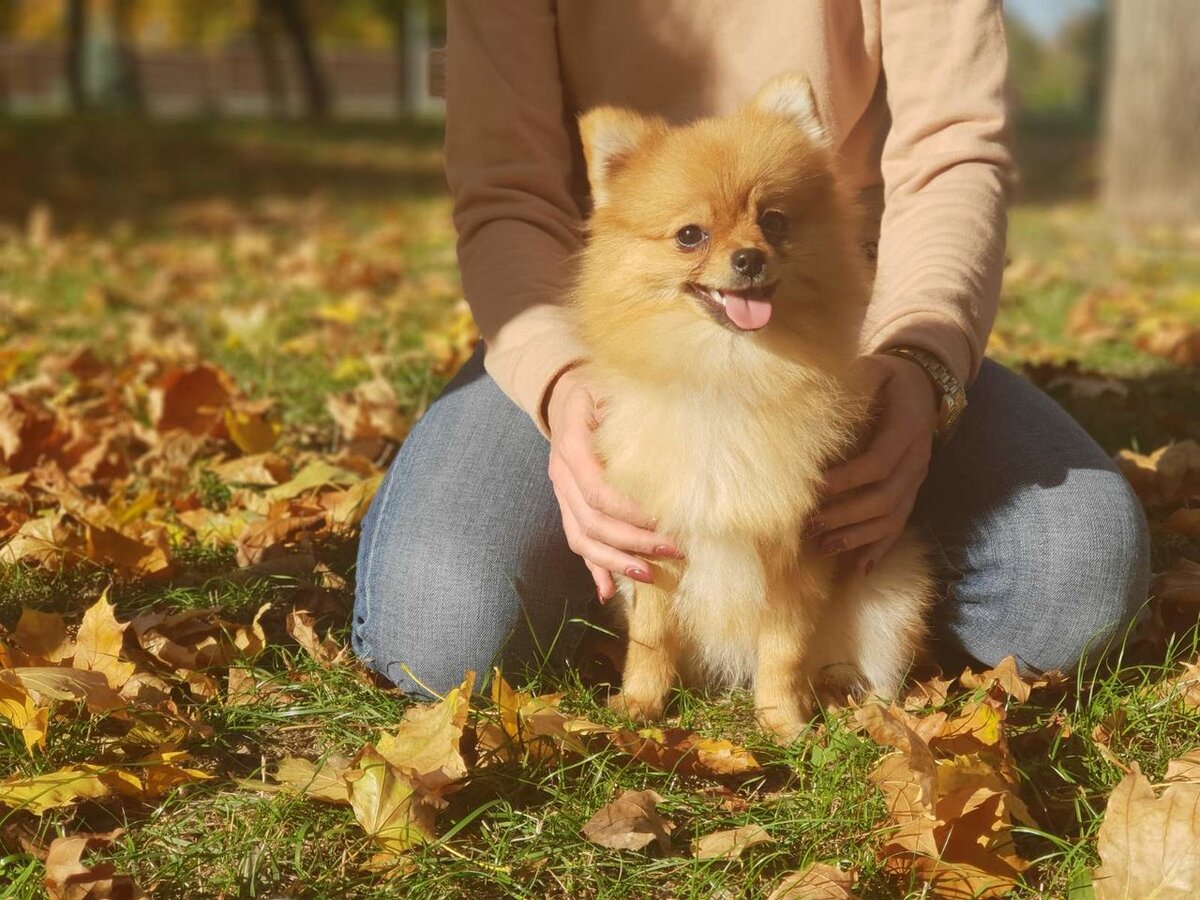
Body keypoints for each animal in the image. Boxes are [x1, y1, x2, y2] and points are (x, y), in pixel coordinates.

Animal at [573, 75, 936, 739]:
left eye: (773, 220)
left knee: (868, 676)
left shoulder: (800, 549)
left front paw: (783, 723)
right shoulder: (653, 545)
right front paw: (639, 706)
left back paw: (860, 714)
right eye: (690, 234)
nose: (749, 258)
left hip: (891, 597)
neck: (729, 375)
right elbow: (651, 639)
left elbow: (782, 650)